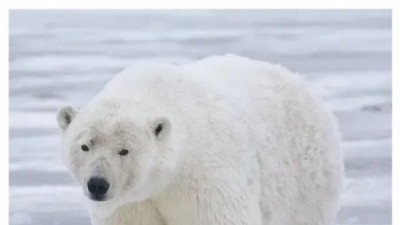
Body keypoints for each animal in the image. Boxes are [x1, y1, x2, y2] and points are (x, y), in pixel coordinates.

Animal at [55, 54, 344, 225]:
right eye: (85, 145)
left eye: (124, 150)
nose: (97, 184)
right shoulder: (129, 204)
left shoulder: (204, 177)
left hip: (306, 175)